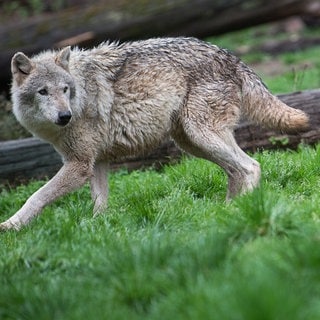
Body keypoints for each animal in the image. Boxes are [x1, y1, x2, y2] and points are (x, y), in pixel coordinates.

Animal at [0, 37, 310, 231]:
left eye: (65, 89)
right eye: (43, 92)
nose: (65, 116)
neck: (80, 92)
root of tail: (230, 56)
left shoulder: (79, 166)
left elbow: (36, 197)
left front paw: (10, 227)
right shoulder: (97, 162)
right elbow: (99, 204)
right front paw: (98, 231)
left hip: (200, 135)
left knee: (251, 166)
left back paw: (241, 211)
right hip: (191, 143)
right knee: (236, 171)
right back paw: (226, 211)